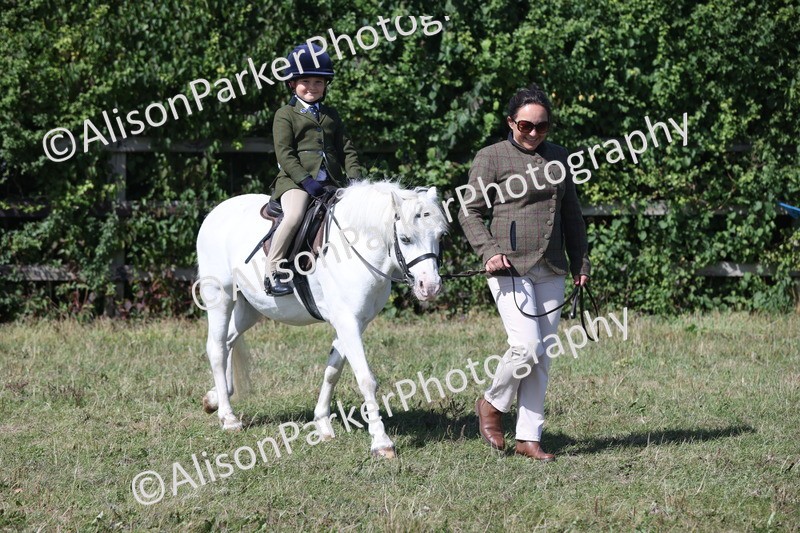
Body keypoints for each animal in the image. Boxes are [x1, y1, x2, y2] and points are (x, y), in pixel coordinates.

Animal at [195, 181, 447, 457]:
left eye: (439, 236)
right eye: (405, 238)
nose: (430, 287)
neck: (357, 249)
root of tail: (216, 212)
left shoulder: (354, 323)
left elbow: (332, 371)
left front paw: (323, 423)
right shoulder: (348, 322)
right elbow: (365, 379)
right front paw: (381, 443)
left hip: (250, 308)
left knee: (229, 342)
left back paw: (216, 399)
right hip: (220, 297)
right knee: (217, 348)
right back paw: (228, 418)